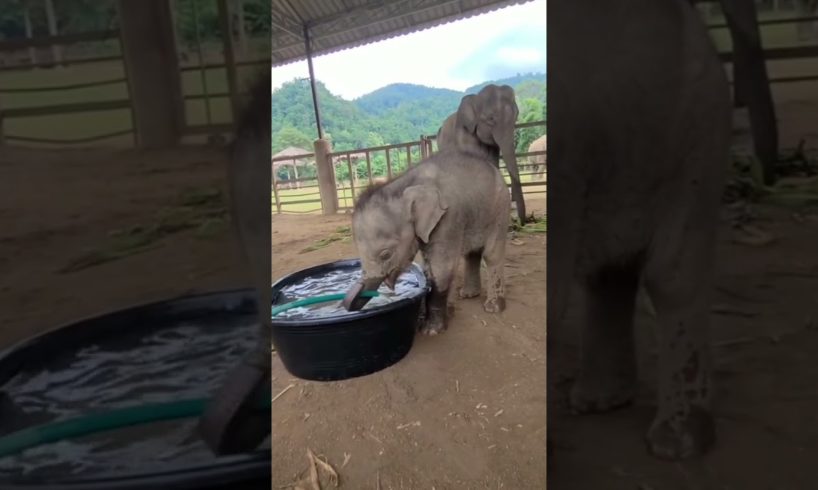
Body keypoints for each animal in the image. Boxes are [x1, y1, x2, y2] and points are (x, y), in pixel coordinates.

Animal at [340, 150, 506, 334]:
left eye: (386, 255)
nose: (345, 305)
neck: (405, 185)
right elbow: (428, 267)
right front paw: (432, 316)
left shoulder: (449, 217)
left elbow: (442, 267)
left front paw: (431, 330)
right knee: (471, 254)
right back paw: (468, 295)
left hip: (499, 209)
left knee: (491, 255)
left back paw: (493, 307)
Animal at [436, 84, 524, 222]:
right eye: (491, 118)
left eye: (517, 115)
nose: (521, 221)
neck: (475, 98)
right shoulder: (464, 133)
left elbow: (493, 164)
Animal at [548, 0, 732, 460]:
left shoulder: (563, 160)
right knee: (607, 274)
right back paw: (597, 402)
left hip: (699, 128)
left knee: (673, 275)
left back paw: (678, 443)